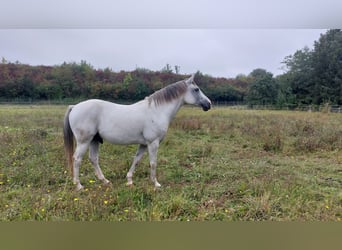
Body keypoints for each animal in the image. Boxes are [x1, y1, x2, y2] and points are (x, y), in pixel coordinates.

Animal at [62, 73, 210, 190]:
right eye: (196, 89)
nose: (208, 104)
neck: (157, 111)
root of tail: (75, 107)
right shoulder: (153, 143)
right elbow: (153, 163)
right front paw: (156, 183)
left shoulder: (144, 144)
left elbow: (136, 160)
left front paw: (129, 180)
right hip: (84, 141)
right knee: (77, 159)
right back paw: (79, 185)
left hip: (94, 140)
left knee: (93, 159)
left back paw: (105, 181)